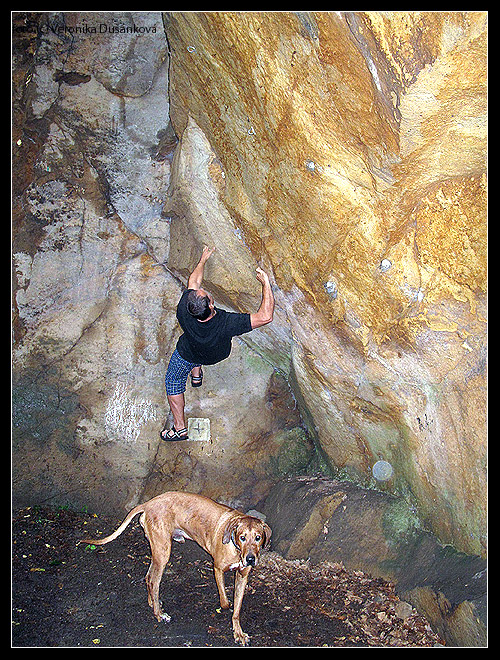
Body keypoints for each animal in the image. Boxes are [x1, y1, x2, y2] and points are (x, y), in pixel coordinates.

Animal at [79, 490, 272, 644]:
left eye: (258, 537)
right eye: (242, 537)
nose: (250, 559)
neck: (236, 548)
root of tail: (148, 503)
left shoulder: (242, 576)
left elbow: (237, 610)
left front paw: (238, 633)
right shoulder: (217, 569)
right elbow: (225, 602)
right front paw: (227, 606)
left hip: (158, 551)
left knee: (148, 577)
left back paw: (153, 603)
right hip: (163, 553)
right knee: (153, 581)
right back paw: (159, 614)